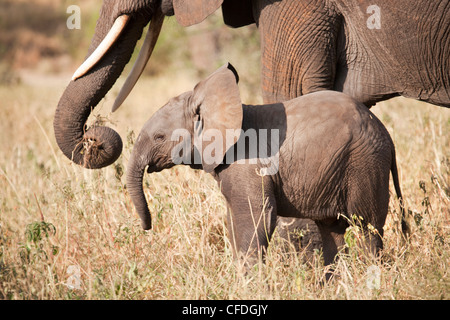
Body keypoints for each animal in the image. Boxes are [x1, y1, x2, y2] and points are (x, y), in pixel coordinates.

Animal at [126, 63, 404, 266]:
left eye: (159, 137)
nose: (147, 227)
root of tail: (386, 135)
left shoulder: (247, 165)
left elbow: (256, 217)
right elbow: (233, 220)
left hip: (364, 163)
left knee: (368, 227)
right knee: (331, 231)